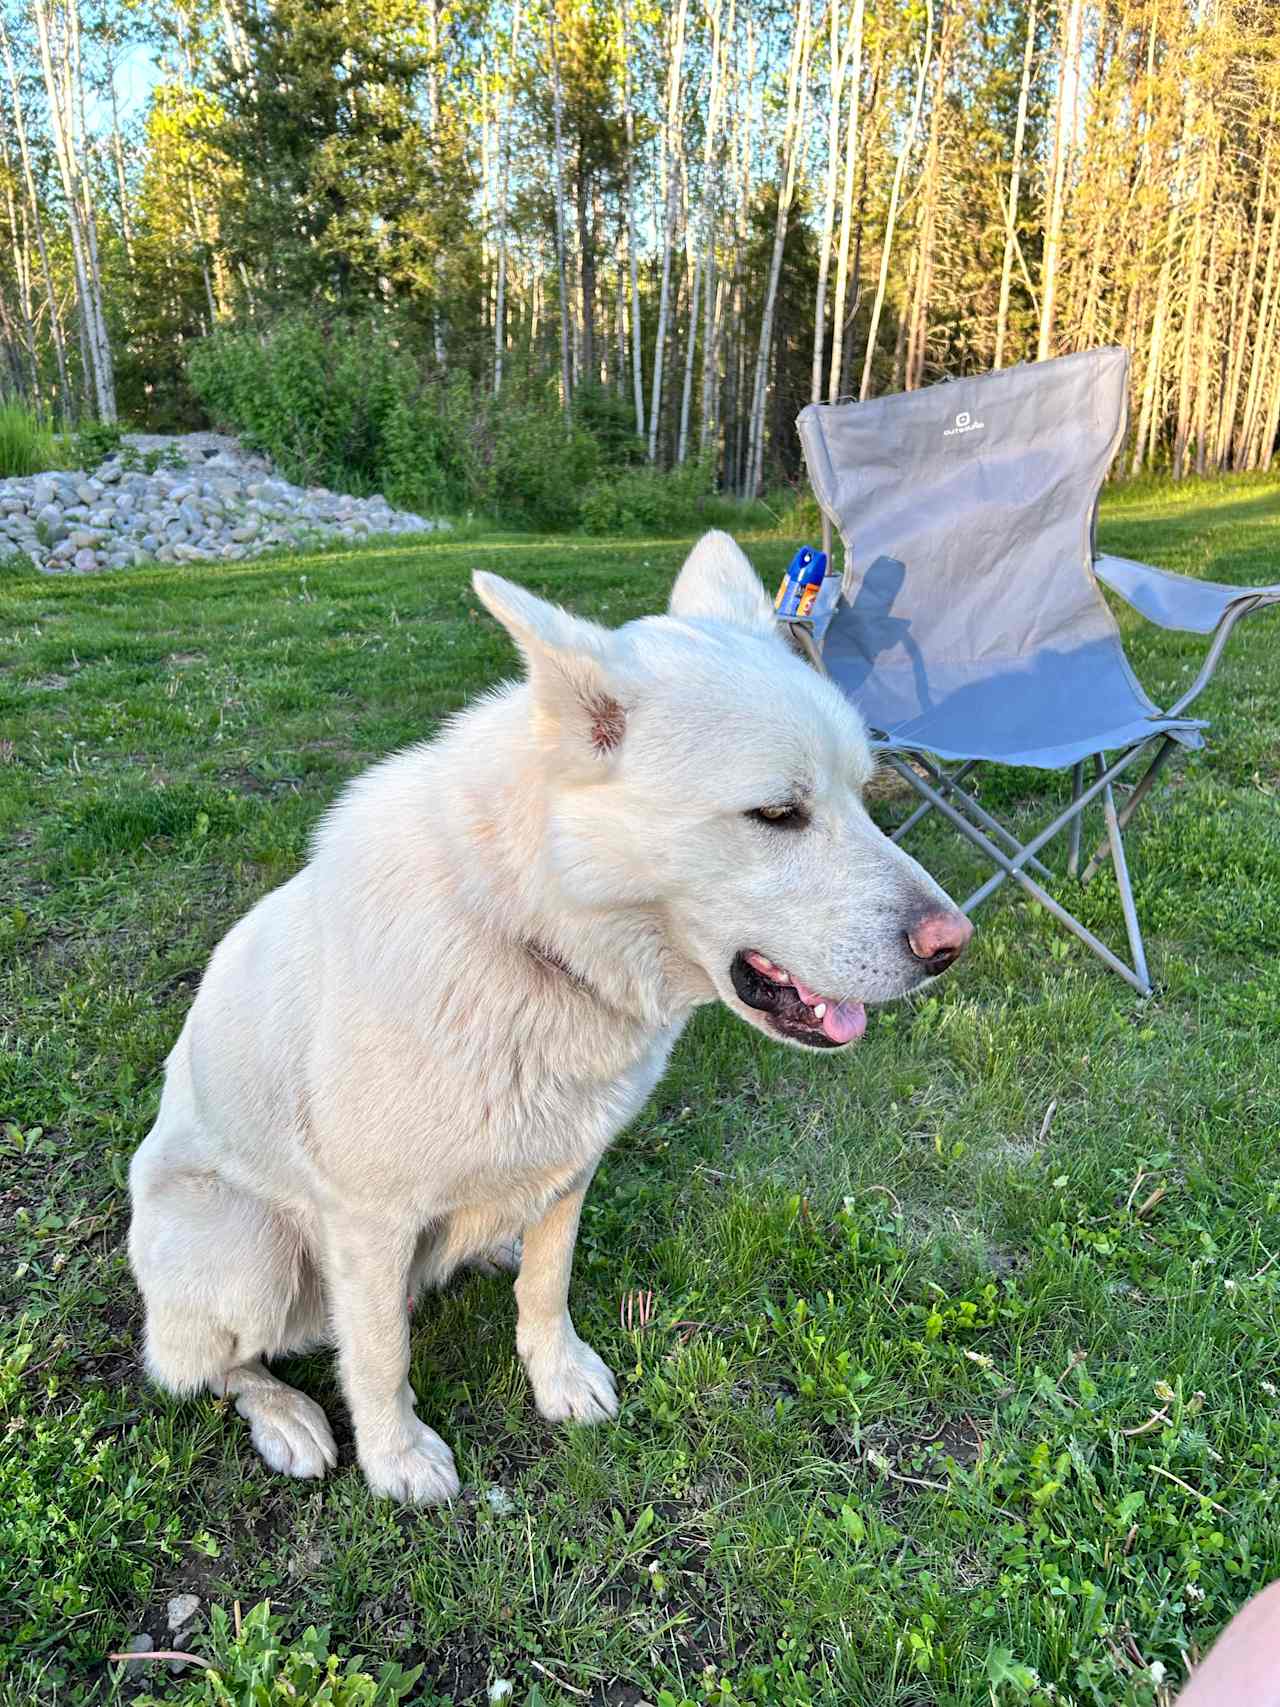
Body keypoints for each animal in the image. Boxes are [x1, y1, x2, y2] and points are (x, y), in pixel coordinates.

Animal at [130, 532, 969, 1508]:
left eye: (864, 794)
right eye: (776, 813)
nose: (953, 943)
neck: (526, 932)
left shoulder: (575, 1167)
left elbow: (547, 1284)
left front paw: (558, 1376)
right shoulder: (369, 1220)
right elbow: (379, 1355)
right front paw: (396, 1457)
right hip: (252, 1251)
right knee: (207, 1366)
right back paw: (287, 1416)